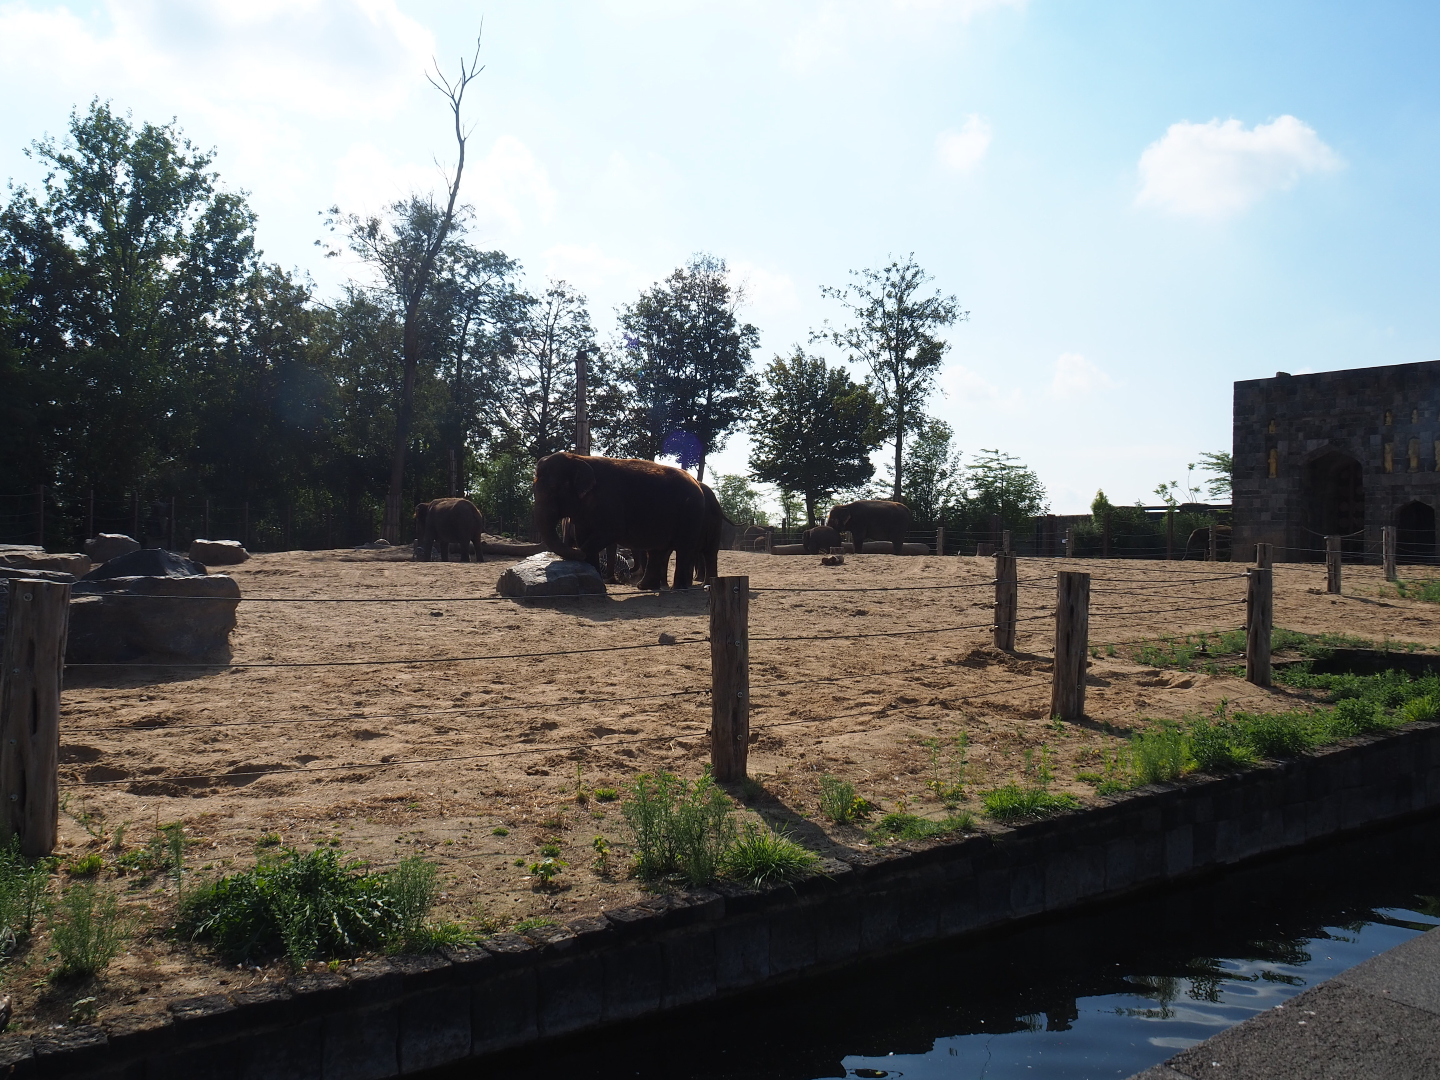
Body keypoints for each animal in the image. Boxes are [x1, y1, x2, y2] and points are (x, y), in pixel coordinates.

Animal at [533, 452, 707, 590]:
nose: (576, 553)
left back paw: (678, 589)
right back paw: (644, 587)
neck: (578, 458)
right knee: (658, 550)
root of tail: (696, 482)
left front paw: (584, 556)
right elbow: (582, 534)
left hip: (691, 513)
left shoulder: (610, 502)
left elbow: (609, 531)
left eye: (553, 490)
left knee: (683, 548)